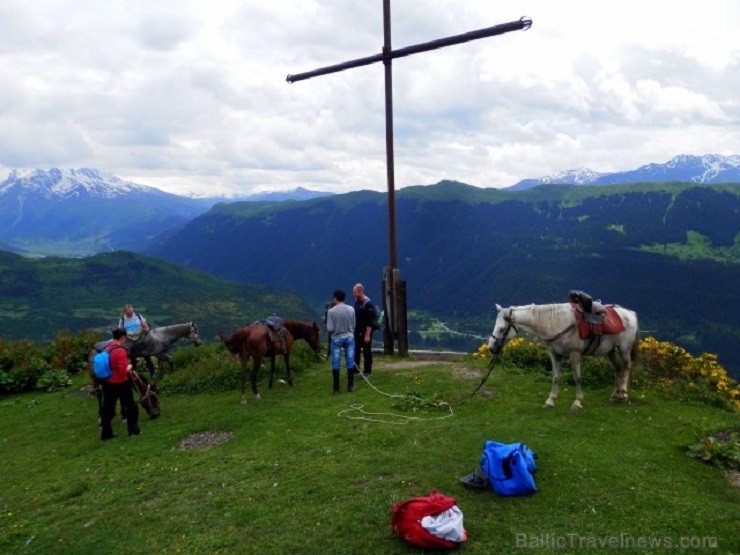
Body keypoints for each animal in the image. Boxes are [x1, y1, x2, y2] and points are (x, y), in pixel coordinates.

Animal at [488, 302, 640, 410]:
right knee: (618, 368)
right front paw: (550, 401)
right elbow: (555, 377)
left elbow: (577, 377)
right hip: (611, 350)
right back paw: (616, 394)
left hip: (624, 348)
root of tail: (630, 313)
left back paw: (624, 393)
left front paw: (577, 402)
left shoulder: (574, 354)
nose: (491, 348)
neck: (557, 323)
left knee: (627, 367)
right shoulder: (555, 354)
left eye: (501, 329)